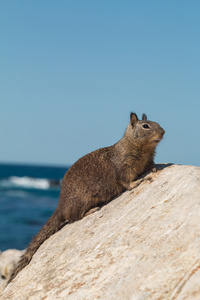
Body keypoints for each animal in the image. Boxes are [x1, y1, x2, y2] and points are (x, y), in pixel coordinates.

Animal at [8, 112, 164, 284]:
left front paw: (154, 169)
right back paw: (91, 210)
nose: (163, 132)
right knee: (74, 217)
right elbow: (126, 181)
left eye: (156, 123)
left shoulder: (148, 160)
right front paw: (138, 182)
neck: (141, 148)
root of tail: (60, 205)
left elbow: (150, 166)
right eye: (146, 126)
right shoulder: (124, 167)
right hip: (83, 200)